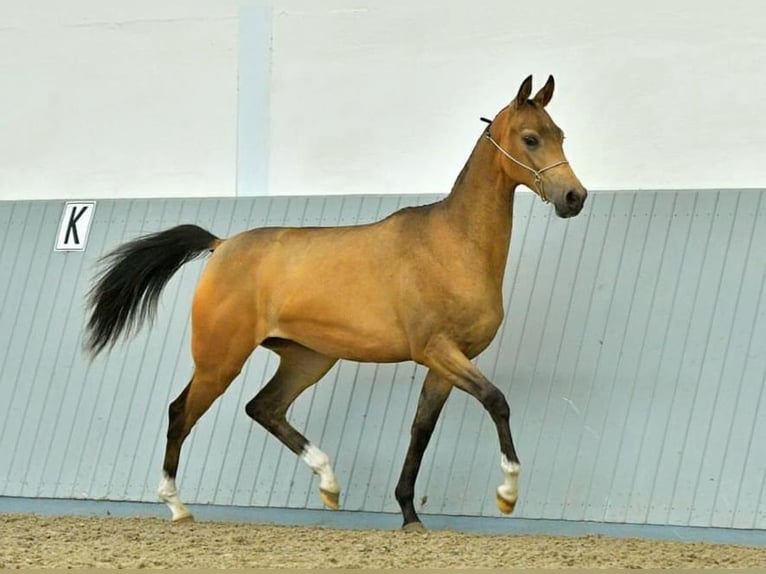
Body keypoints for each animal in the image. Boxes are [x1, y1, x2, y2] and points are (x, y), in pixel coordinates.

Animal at [84, 75, 587, 531]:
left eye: (561, 134)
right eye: (530, 138)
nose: (574, 197)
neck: (453, 244)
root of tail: (221, 244)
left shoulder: (448, 362)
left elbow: (420, 431)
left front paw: (410, 516)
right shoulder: (437, 350)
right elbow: (496, 400)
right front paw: (507, 494)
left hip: (308, 358)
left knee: (263, 408)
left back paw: (329, 483)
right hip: (220, 359)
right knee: (180, 412)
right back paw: (177, 506)